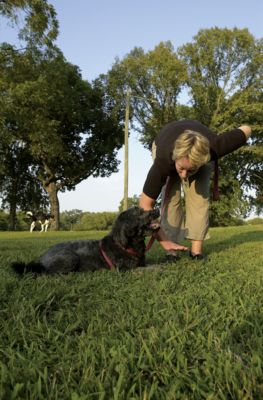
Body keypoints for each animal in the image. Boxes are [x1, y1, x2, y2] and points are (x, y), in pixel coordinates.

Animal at [11, 206, 161, 276]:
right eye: (140, 213)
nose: (157, 209)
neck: (124, 244)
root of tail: (41, 260)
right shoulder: (126, 269)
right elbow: (150, 268)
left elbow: (151, 265)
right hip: (70, 257)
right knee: (49, 274)